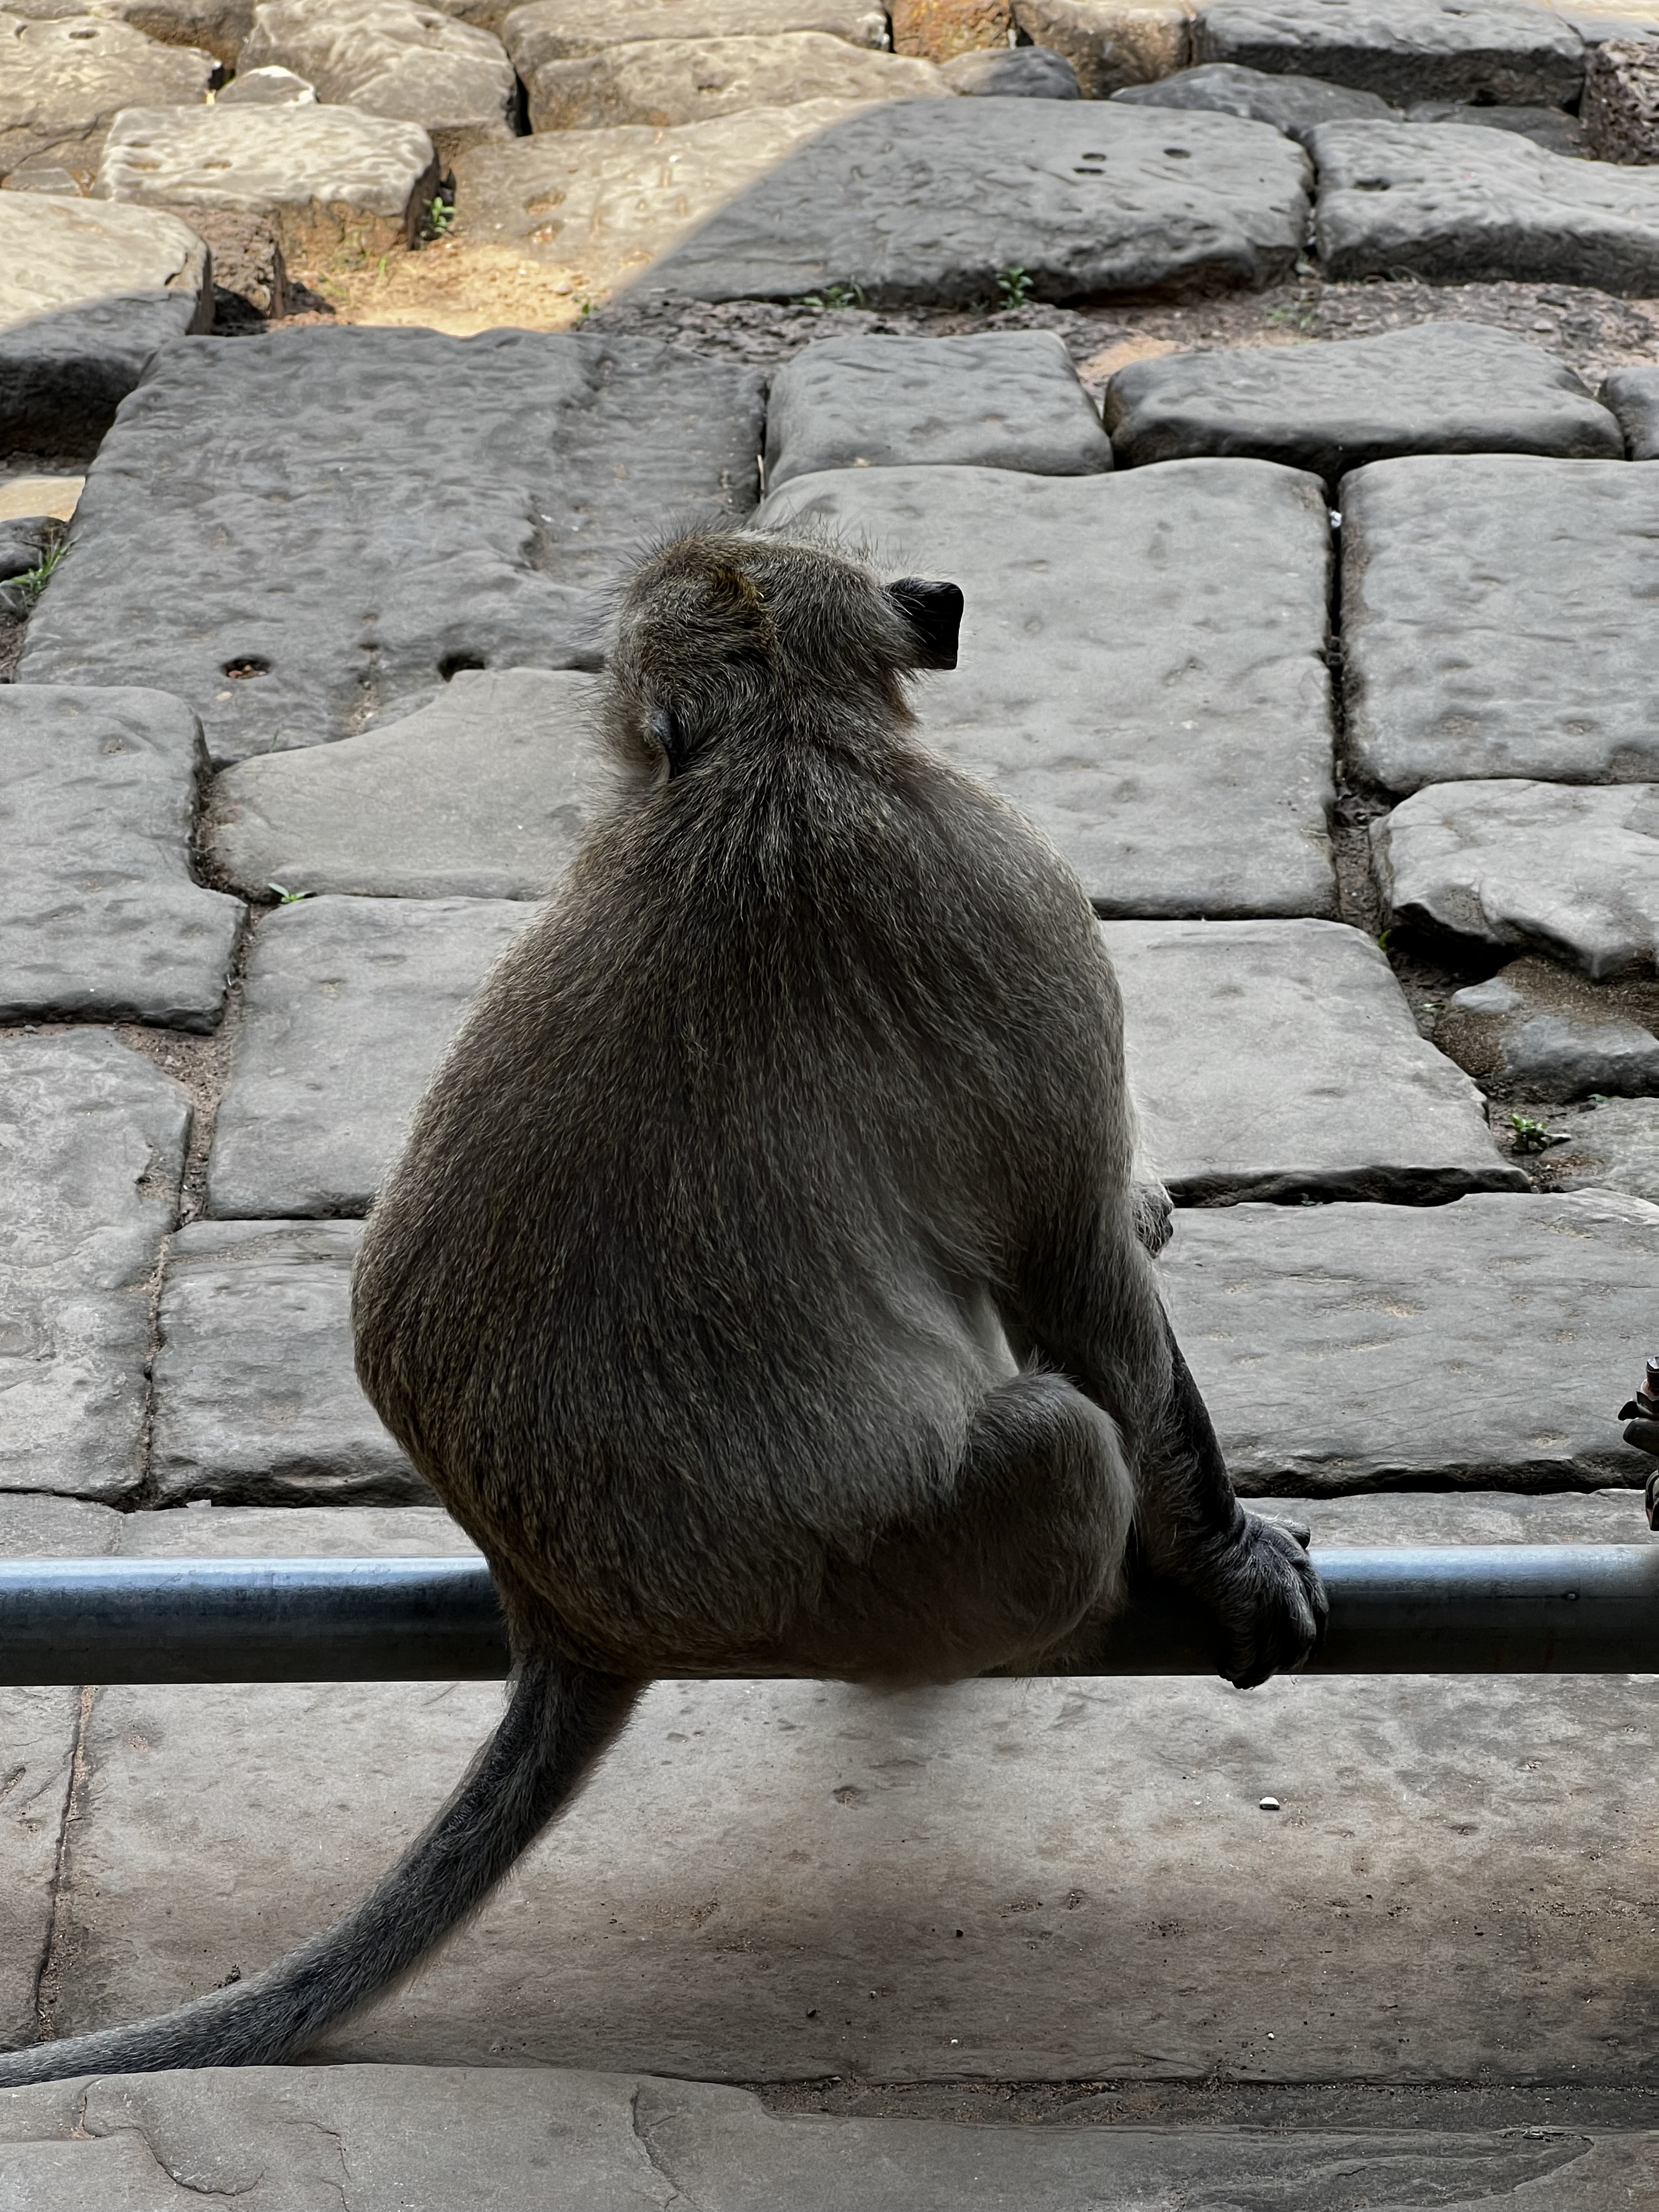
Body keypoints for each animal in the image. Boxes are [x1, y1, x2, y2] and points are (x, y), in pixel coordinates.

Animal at [0, 526, 1327, 2079]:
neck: (777, 741)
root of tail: (567, 1612)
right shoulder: (1001, 881)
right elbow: (1075, 1270)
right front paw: (1221, 1552)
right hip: (882, 1577)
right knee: (1057, 1442)